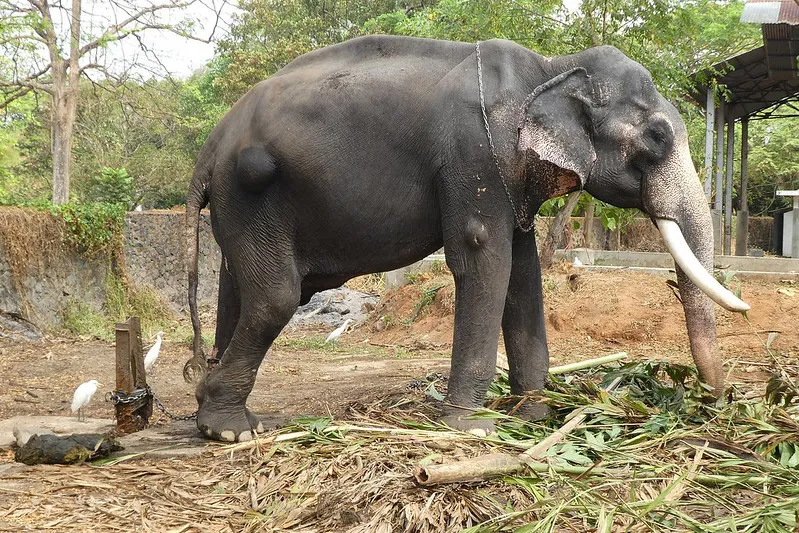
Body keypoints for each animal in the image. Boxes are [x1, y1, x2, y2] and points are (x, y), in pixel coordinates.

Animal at [183, 34, 752, 440]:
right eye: (656, 137)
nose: (716, 402)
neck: (549, 69)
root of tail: (209, 148)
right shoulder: (474, 154)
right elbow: (485, 259)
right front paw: (472, 426)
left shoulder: (513, 178)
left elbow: (523, 274)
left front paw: (537, 417)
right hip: (252, 192)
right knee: (277, 297)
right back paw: (230, 430)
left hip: (244, 209)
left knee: (237, 292)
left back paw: (220, 415)